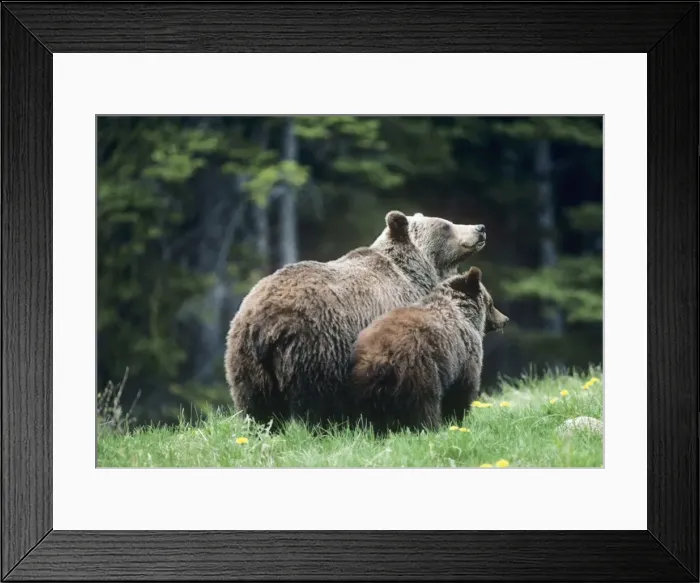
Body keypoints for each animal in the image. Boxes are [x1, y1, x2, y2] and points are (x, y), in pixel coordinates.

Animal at [224, 211, 487, 428]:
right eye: (445, 225)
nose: (480, 227)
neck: (415, 273)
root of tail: (265, 321)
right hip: (318, 347)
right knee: (315, 400)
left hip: (246, 361)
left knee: (255, 407)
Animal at [349, 266, 508, 434]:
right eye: (491, 303)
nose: (505, 319)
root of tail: (382, 356)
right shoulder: (465, 356)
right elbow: (462, 389)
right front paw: (457, 419)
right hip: (419, 370)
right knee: (425, 403)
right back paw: (430, 427)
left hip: (366, 382)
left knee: (369, 412)